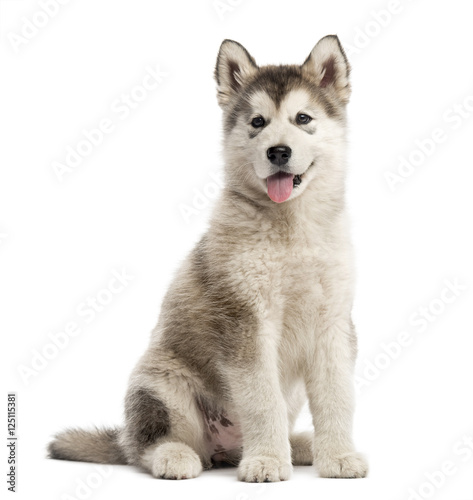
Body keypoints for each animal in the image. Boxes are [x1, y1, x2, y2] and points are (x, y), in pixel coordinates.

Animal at [48, 34, 366, 480]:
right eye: (257, 122)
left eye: (303, 118)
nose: (278, 152)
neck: (292, 230)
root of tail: (222, 448)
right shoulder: (247, 323)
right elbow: (262, 400)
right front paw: (267, 461)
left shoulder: (333, 323)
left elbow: (338, 395)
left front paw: (337, 456)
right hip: (161, 384)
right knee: (146, 447)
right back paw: (179, 457)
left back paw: (300, 446)